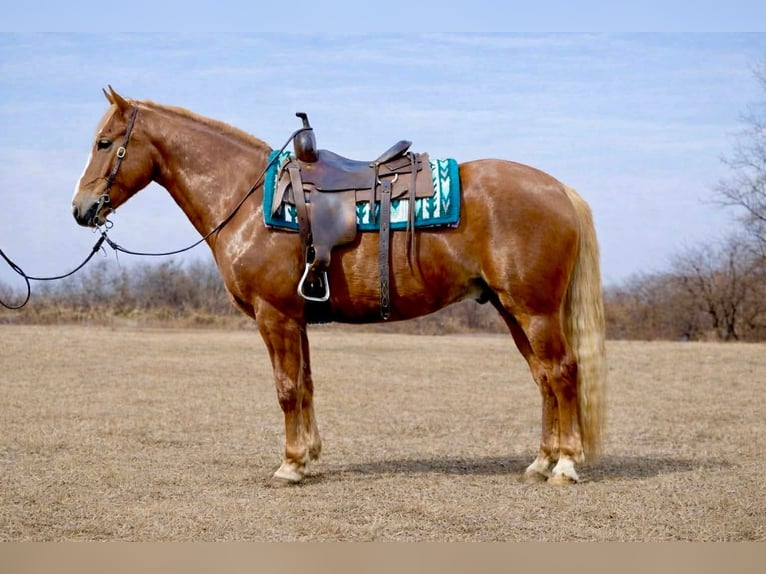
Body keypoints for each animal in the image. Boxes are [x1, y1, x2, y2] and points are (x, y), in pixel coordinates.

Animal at [72, 87, 606, 485]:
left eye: (104, 143)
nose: (81, 209)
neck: (248, 199)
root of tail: (560, 190)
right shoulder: (297, 317)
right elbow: (306, 385)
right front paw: (308, 456)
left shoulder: (274, 315)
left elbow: (287, 388)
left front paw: (289, 466)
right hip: (510, 309)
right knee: (543, 377)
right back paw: (540, 461)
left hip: (535, 311)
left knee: (562, 372)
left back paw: (565, 464)